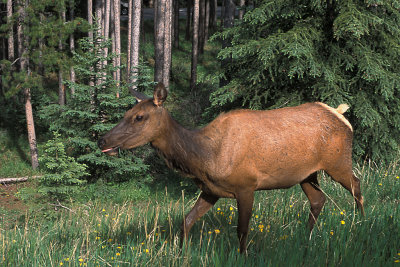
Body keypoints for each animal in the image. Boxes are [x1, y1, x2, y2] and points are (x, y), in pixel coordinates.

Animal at [98, 83, 364, 253]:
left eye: (140, 117)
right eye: (126, 112)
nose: (103, 140)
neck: (206, 158)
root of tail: (341, 114)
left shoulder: (246, 186)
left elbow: (242, 230)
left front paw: (242, 256)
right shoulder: (211, 190)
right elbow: (186, 220)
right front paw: (182, 252)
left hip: (337, 162)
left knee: (356, 186)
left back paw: (361, 225)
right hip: (307, 174)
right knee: (318, 199)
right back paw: (305, 239)